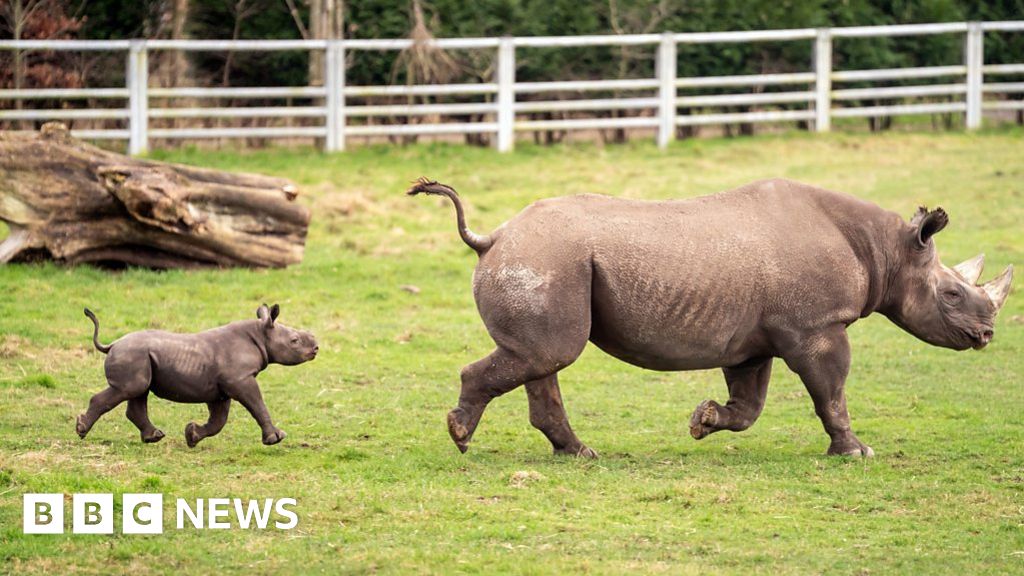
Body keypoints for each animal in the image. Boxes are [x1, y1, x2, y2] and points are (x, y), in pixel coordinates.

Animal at [77, 303, 315, 446]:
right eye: (294, 341)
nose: (316, 348)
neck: (260, 334)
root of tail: (112, 344)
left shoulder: (222, 388)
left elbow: (219, 420)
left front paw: (192, 435)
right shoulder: (240, 379)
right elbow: (257, 405)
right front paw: (276, 438)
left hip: (138, 356)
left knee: (138, 392)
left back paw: (154, 437)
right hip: (132, 354)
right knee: (131, 389)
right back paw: (81, 430)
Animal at [409, 177, 1015, 455]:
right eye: (951, 295)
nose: (986, 335)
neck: (887, 251)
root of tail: (492, 238)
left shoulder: (756, 338)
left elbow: (749, 405)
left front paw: (702, 422)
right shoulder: (817, 327)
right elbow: (832, 392)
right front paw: (856, 452)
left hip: (544, 261)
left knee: (542, 359)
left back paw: (578, 454)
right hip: (543, 260)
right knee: (548, 354)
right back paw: (461, 436)